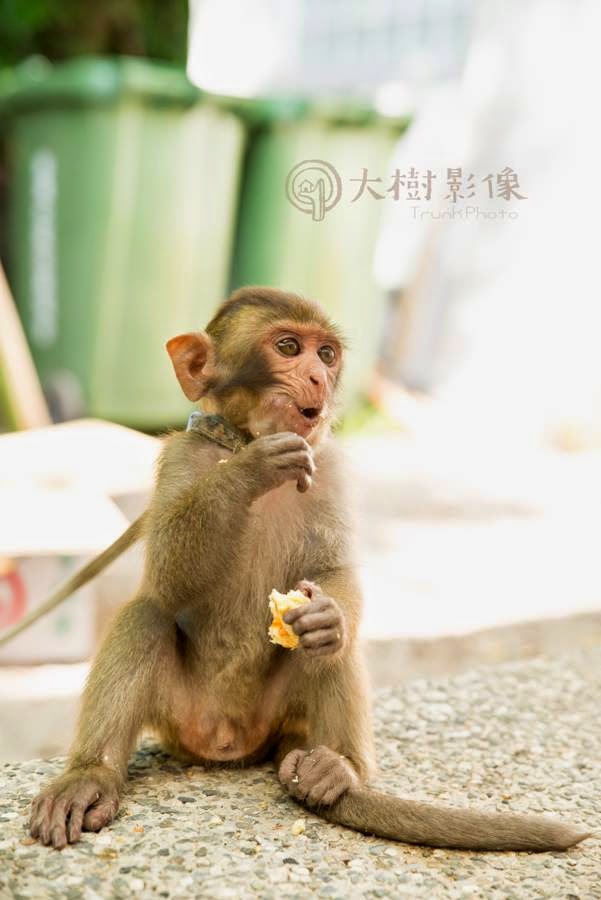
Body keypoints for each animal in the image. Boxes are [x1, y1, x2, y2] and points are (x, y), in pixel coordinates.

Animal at [28, 287, 589, 852]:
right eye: (288, 347)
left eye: (326, 354)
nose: (318, 377)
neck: (240, 435)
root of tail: (229, 743)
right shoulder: (182, 457)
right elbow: (167, 581)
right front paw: (248, 470)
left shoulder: (331, 467)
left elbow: (332, 572)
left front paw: (326, 616)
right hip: (178, 718)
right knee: (145, 615)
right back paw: (91, 776)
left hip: (283, 716)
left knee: (333, 648)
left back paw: (338, 766)